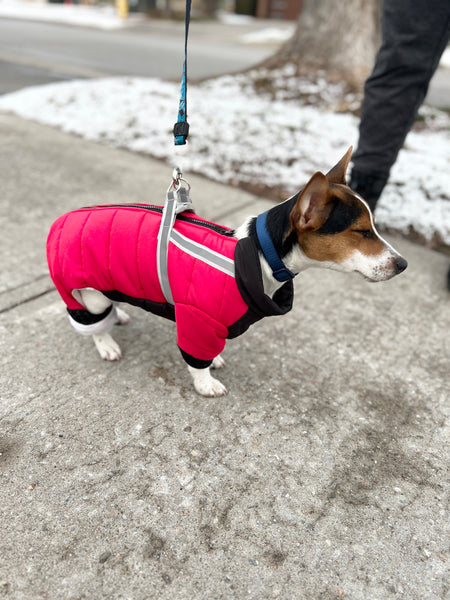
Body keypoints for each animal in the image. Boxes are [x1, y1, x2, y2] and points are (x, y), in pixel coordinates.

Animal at [46, 148, 408, 396]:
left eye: (373, 227)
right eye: (362, 232)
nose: (403, 264)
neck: (260, 254)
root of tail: (60, 221)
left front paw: (215, 358)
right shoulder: (197, 321)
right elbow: (196, 359)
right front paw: (206, 382)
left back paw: (119, 313)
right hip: (84, 292)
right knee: (92, 319)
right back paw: (106, 341)